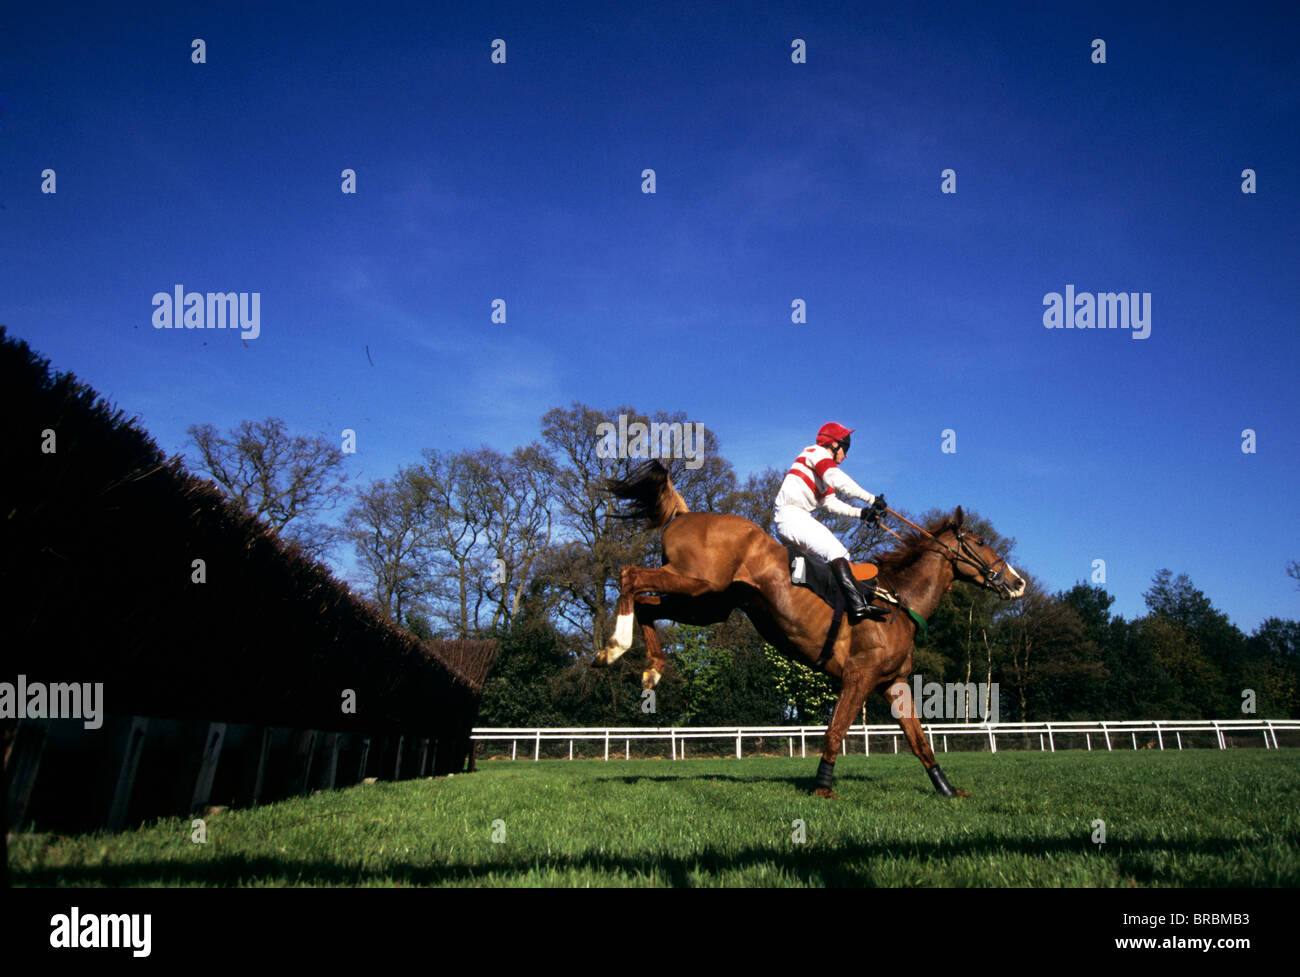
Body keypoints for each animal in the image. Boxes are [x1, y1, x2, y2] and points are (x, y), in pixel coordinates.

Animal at [592, 462, 1024, 795]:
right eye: (979, 541)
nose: (1017, 582)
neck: (897, 600)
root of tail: (685, 514)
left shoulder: (893, 682)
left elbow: (920, 742)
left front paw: (946, 788)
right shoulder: (859, 675)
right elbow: (836, 730)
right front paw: (823, 786)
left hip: (707, 603)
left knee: (647, 604)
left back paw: (651, 668)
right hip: (698, 581)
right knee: (630, 575)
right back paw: (615, 646)